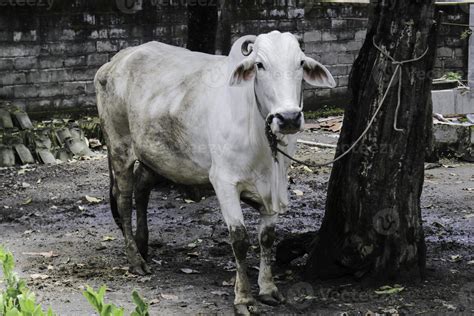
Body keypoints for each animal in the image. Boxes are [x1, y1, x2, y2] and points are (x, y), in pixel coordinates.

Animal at [94, 30, 336, 314]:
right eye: (260, 65)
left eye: (300, 63)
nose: (288, 118)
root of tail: (117, 59)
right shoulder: (224, 182)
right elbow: (240, 239)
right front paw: (243, 298)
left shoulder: (274, 188)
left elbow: (267, 238)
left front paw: (268, 289)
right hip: (119, 147)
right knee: (123, 201)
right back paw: (135, 259)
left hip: (155, 154)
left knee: (142, 189)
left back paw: (143, 245)